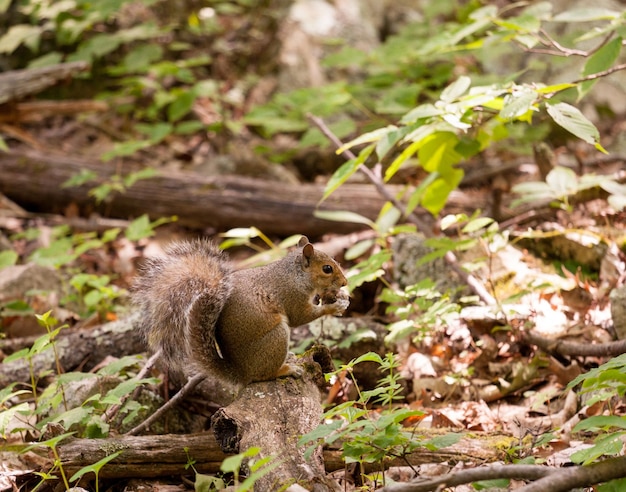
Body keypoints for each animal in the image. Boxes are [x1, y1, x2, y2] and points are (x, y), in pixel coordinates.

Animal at [132, 236, 348, 386]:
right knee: (263, 375)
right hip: (276, 337)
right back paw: (286, 369)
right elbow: (300, 317)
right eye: (327, 268)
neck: (296, 275)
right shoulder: (292, 295)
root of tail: (241, 373)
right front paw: (334, 306)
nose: (345, 282)